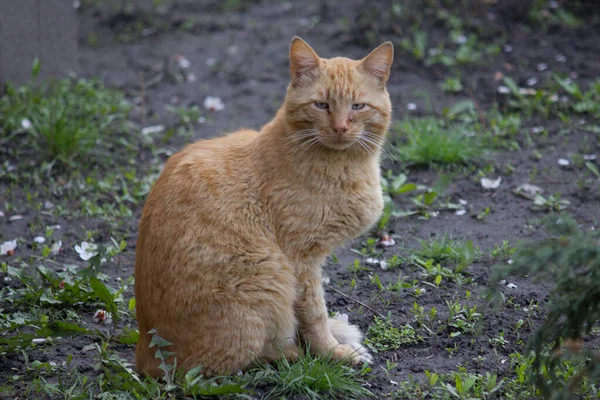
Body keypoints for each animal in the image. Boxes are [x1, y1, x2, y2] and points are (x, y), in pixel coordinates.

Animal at [135, 36, 394, 376]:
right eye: (322, 105)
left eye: (357, 106)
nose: (340, 127)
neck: (344, 165)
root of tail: (145, 353)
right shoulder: (301, 260)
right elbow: (314, 312)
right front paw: (332, 352)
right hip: (270, 274)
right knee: (240, 359)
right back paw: (293, 351)